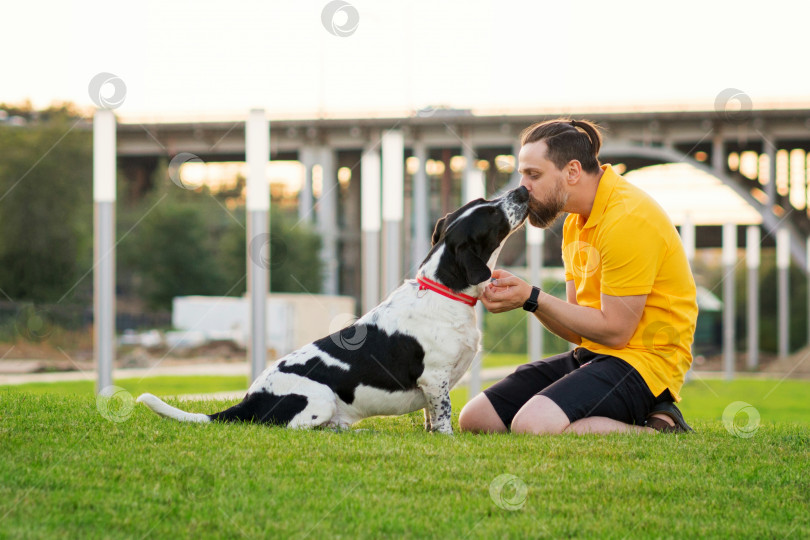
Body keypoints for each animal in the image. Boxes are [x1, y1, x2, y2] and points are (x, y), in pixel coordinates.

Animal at [137, 186, 532, 434]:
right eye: (492, 214)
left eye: (483, 200)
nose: (524, 191)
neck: (444, 291)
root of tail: (249, 400)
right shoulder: (435, 379)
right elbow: (444, 417)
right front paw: (446, 438)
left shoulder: (434, 387)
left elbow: (430, 417)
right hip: (321, 399)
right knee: (296, 429)